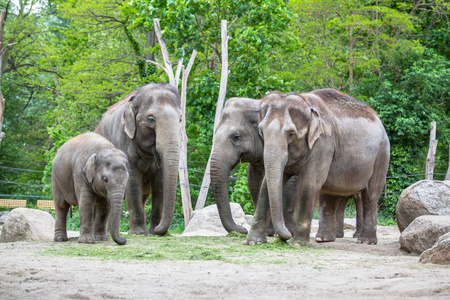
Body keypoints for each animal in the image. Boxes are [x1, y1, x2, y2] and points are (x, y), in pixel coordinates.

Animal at [96, 83, 181, 236]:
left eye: (180, 119)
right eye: (151, 119)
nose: (161, 230)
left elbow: (160, 182)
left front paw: (153, 231)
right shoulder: (122, 138)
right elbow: (132, 181)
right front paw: (139, 233)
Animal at [244, 87, 388, 246]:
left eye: (291, 134)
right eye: (261, 132)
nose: (284, 236)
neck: (305, 102)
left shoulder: (323, 143)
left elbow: (309, 183)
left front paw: (297, 243)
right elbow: (266, 185)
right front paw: (252, 242)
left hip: (381, 155)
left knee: (370, 194)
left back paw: (365, 241)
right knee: (329, 193)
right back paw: (324, 239)